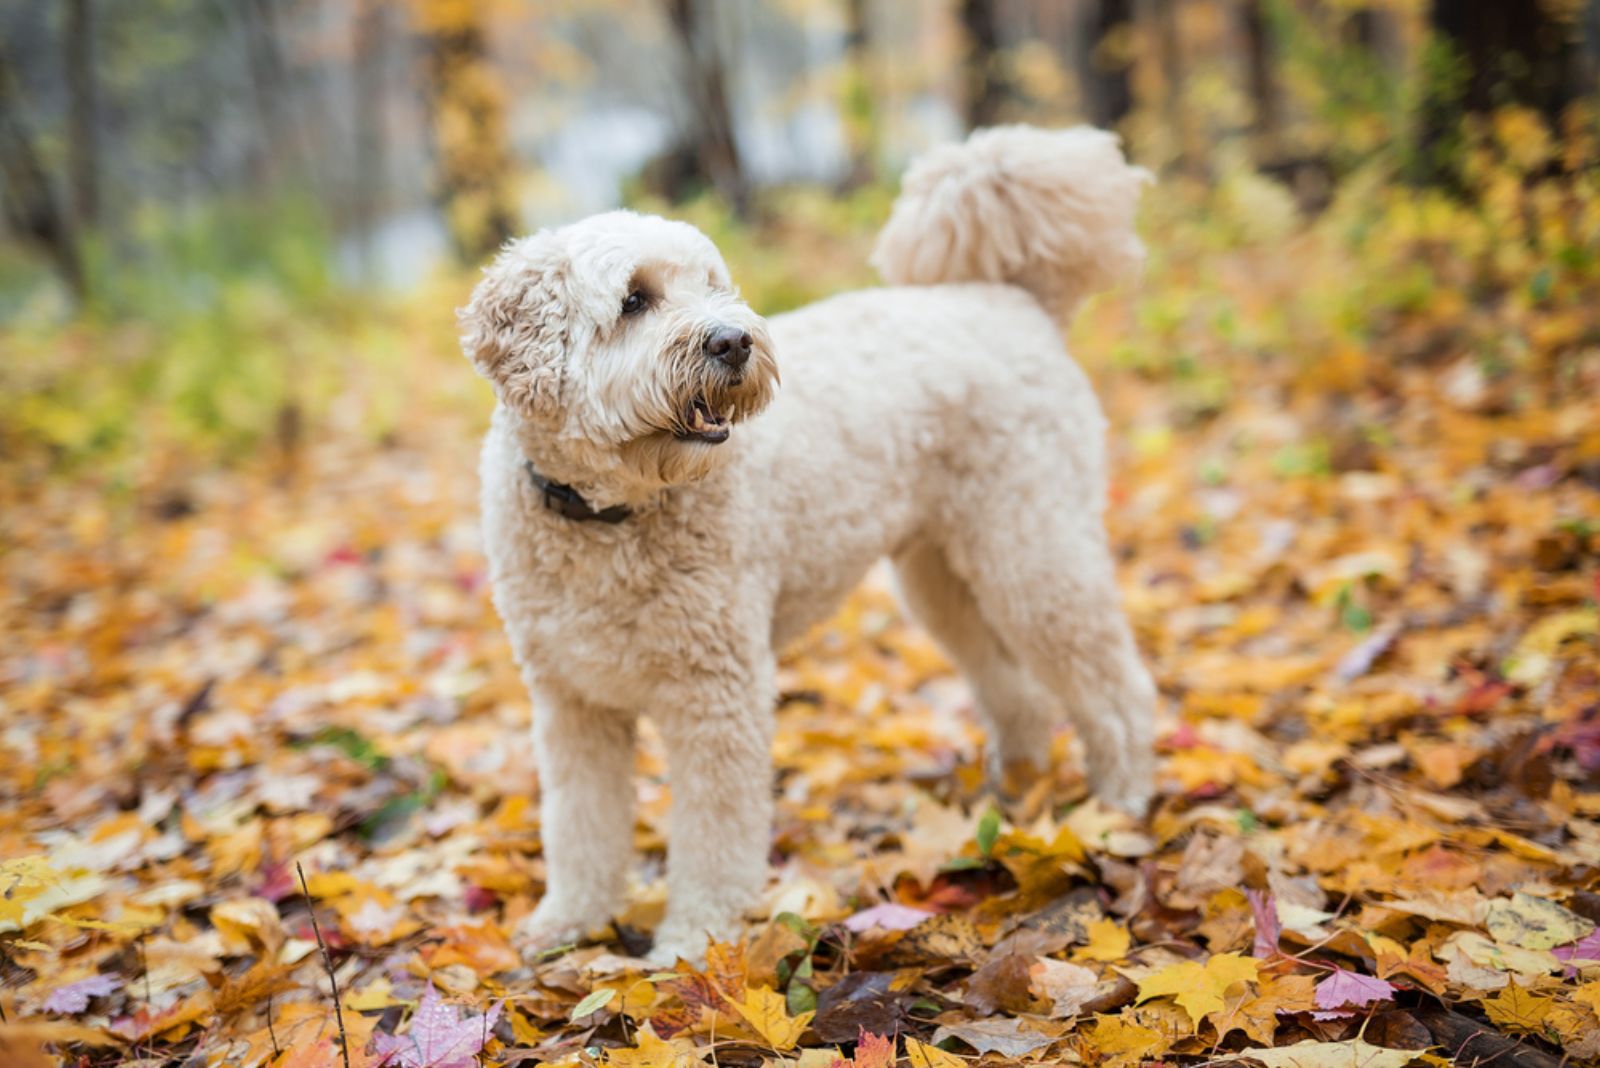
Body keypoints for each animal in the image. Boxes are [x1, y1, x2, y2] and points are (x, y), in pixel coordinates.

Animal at [460, 127, 1152, 965]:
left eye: (715, 286)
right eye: (634, 299)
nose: (733, 340)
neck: (607, 517)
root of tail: (1015, 300)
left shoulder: (717, 692)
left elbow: (715, 835)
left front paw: (694, 943)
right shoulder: (571, 703)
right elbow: (579, 826)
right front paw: (567, 924)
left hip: (1032, 550)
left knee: (1113, 685)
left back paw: (1120, 804)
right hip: (943, 576)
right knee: (1016, 690)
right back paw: (1013, 792)